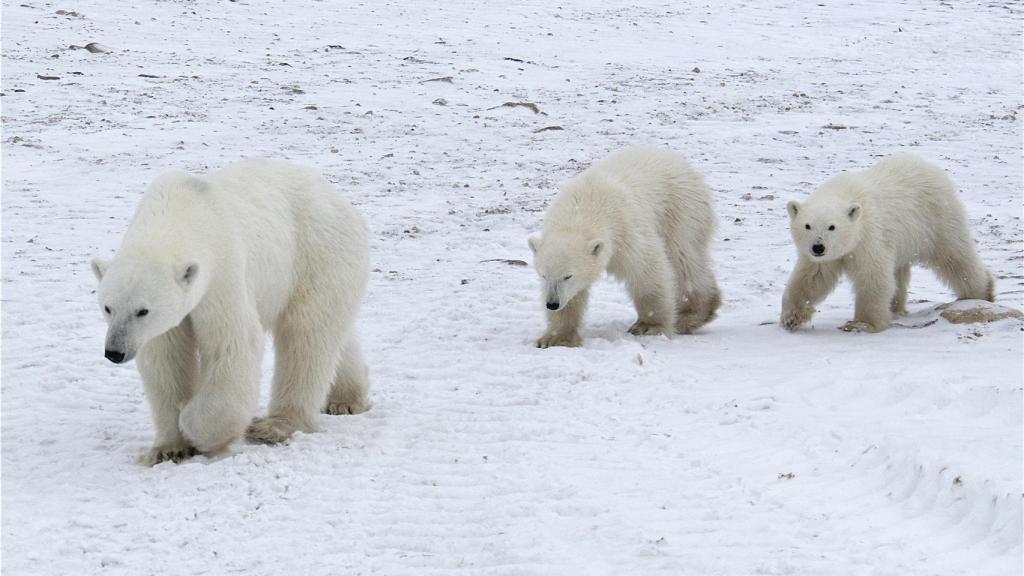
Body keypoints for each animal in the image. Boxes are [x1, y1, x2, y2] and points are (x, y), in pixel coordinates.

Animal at [93, 157, 372, 461]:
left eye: (143, 310)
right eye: (108, 308)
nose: (114, 352)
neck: (182, 212)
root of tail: (340, 201)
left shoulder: (221, 271)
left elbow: (232, 344)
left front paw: (195, 428)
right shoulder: (167, 321)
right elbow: (166, 359)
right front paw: (169, 448)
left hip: (315, 254)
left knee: (305, 335)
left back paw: (274, 426)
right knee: (334, 333)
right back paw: (346, 399)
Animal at [528, 145, 720, 348]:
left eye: (568, 276)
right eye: (543, 275)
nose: (552, 304)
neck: (583, 206)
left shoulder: (626, 230)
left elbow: (646, 271)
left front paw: (649, 326)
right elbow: (573, 296)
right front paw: (556, 338)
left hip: (681, 210)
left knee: (684, 258)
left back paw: (690, 315)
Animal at [782, 152, 991, 332]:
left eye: (832, 227)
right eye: (808, 225)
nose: (818, 247)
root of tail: (929, 166)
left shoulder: (869, 237)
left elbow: (873, 276)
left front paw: (863, 324)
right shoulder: (825, 257)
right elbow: (811, 279)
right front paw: (791, 317)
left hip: (936, 221)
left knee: (955, 256)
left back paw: (983, 292)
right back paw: (895, 308)